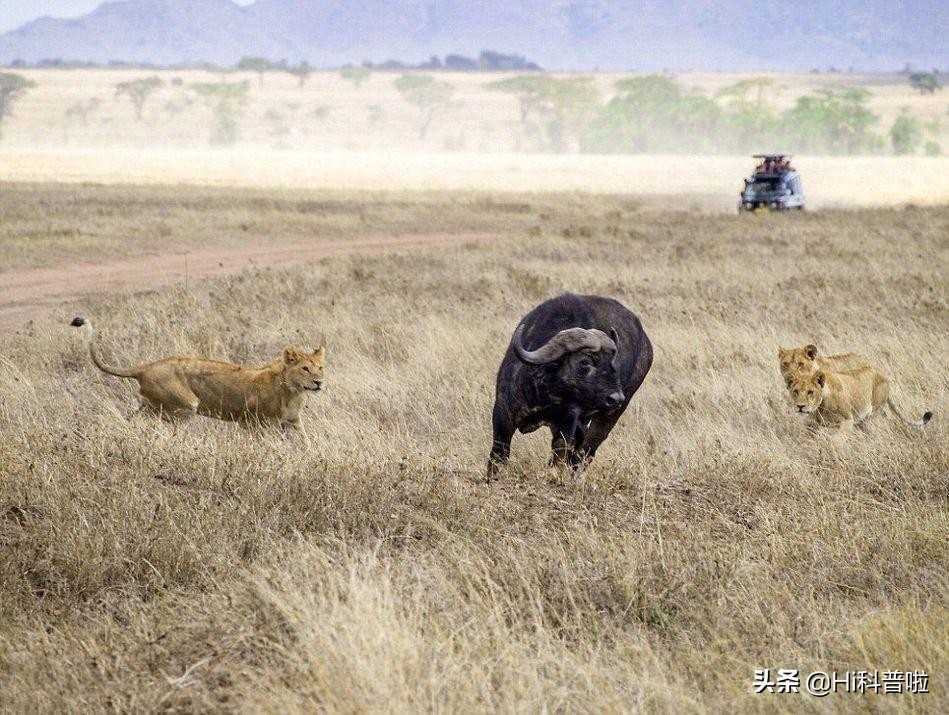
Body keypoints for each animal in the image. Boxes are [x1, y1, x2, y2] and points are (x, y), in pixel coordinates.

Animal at [488, 294, 652, 478]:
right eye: (585, 362)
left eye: (612, 361)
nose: (616, 398)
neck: (547, 392)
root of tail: (647, 346)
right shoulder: (502, 413)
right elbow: (499, 454)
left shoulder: (567, 421)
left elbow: (560, 454)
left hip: (609, 416)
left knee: (587, 450)